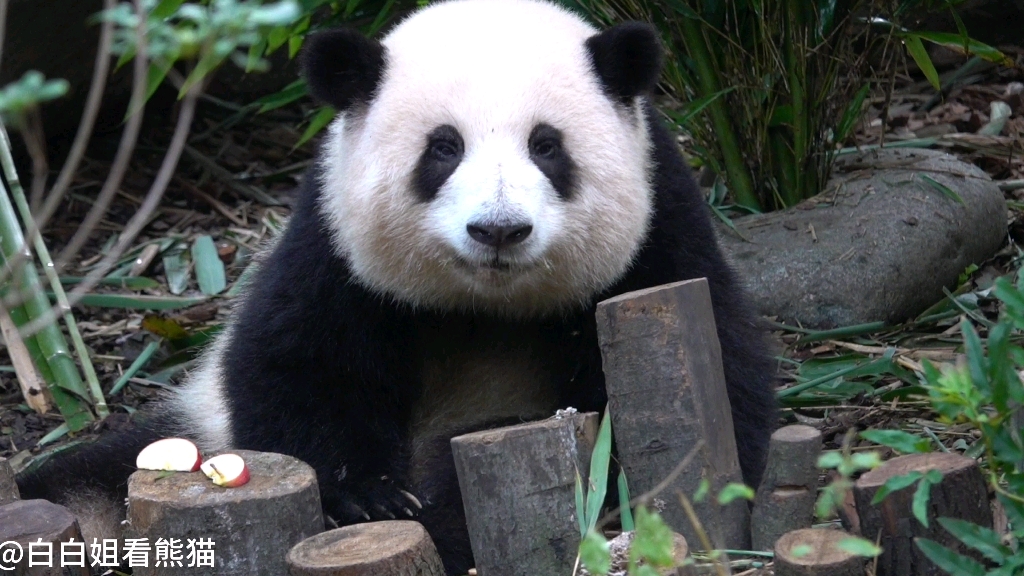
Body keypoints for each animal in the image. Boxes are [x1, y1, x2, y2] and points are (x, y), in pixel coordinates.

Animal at [18, 0, 774, 569]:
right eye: (443, 147)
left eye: (546, 145)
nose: (498, 230)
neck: (484, 306)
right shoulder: (334, 240)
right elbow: (297, 362)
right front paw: (369, 498)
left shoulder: (657, 231)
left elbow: (719, 369)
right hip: (189, 433)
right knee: (74, 483)